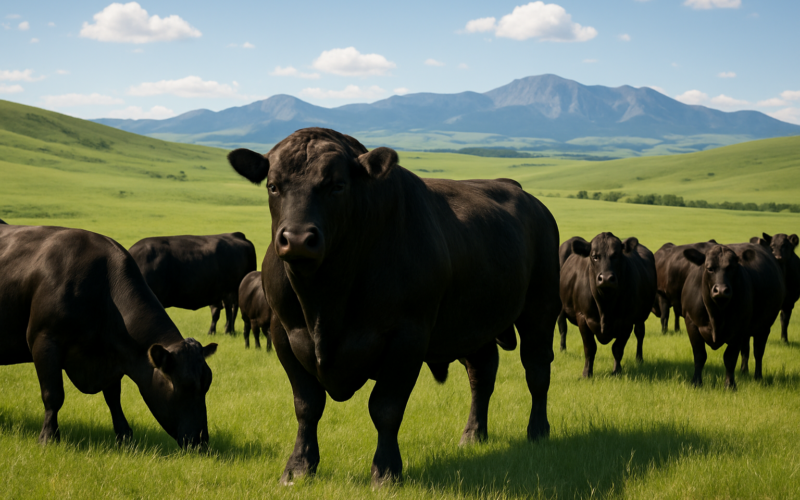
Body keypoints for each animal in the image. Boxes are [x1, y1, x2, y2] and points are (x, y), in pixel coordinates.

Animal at [0, 225, 218, 446]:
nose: (201, 440)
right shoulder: (44, 341)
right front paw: (48, 436)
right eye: (185, 385)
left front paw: (124, 435)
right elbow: (53, 394)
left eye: (207, 384)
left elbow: (114, 398)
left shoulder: (113, 355)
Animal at [129, 233, 257, 335]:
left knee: (230, 310)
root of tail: (236, 235)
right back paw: (220, 331)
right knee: (225, 310)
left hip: (230, 291)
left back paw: (228, 331)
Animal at [227, 127, 561, 486]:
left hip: (541, 308)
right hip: (475, 324)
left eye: (337, 185)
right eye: (273, 185)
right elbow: (307, 405)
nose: (299, 239)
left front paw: (386, 470)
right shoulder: (284, 333)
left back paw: (537, 431)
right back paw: (473, 435)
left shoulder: (407, 338)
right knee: (482, 375)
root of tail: (526, 196)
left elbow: (385, 408)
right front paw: (299, 467)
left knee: (537, 369)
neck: (324, 301)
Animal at [559, 233, 656, 377]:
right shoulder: (582, 318)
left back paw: (639, 358)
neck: (605, 303)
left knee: (640, 334)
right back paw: (562, 349)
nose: (606, 279)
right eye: (594, 256)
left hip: (640, 317)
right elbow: (590, 347)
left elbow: (617, 348)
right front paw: (587, 373)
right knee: (563, 328)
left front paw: (617, 371)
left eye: (616, 255)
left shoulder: (627, 321)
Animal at [681, 243, 784, 388]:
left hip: (764, 328)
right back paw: (744, 371)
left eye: (732, 268)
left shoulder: (738, 329)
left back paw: (758, 377)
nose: (721, 290)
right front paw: (696, 382)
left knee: (758, 352)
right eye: (709, 268)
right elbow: (699, 355)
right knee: (746, 350)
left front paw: (730, 385)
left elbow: (730, 358)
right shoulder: (691, 323)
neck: (716, 313)